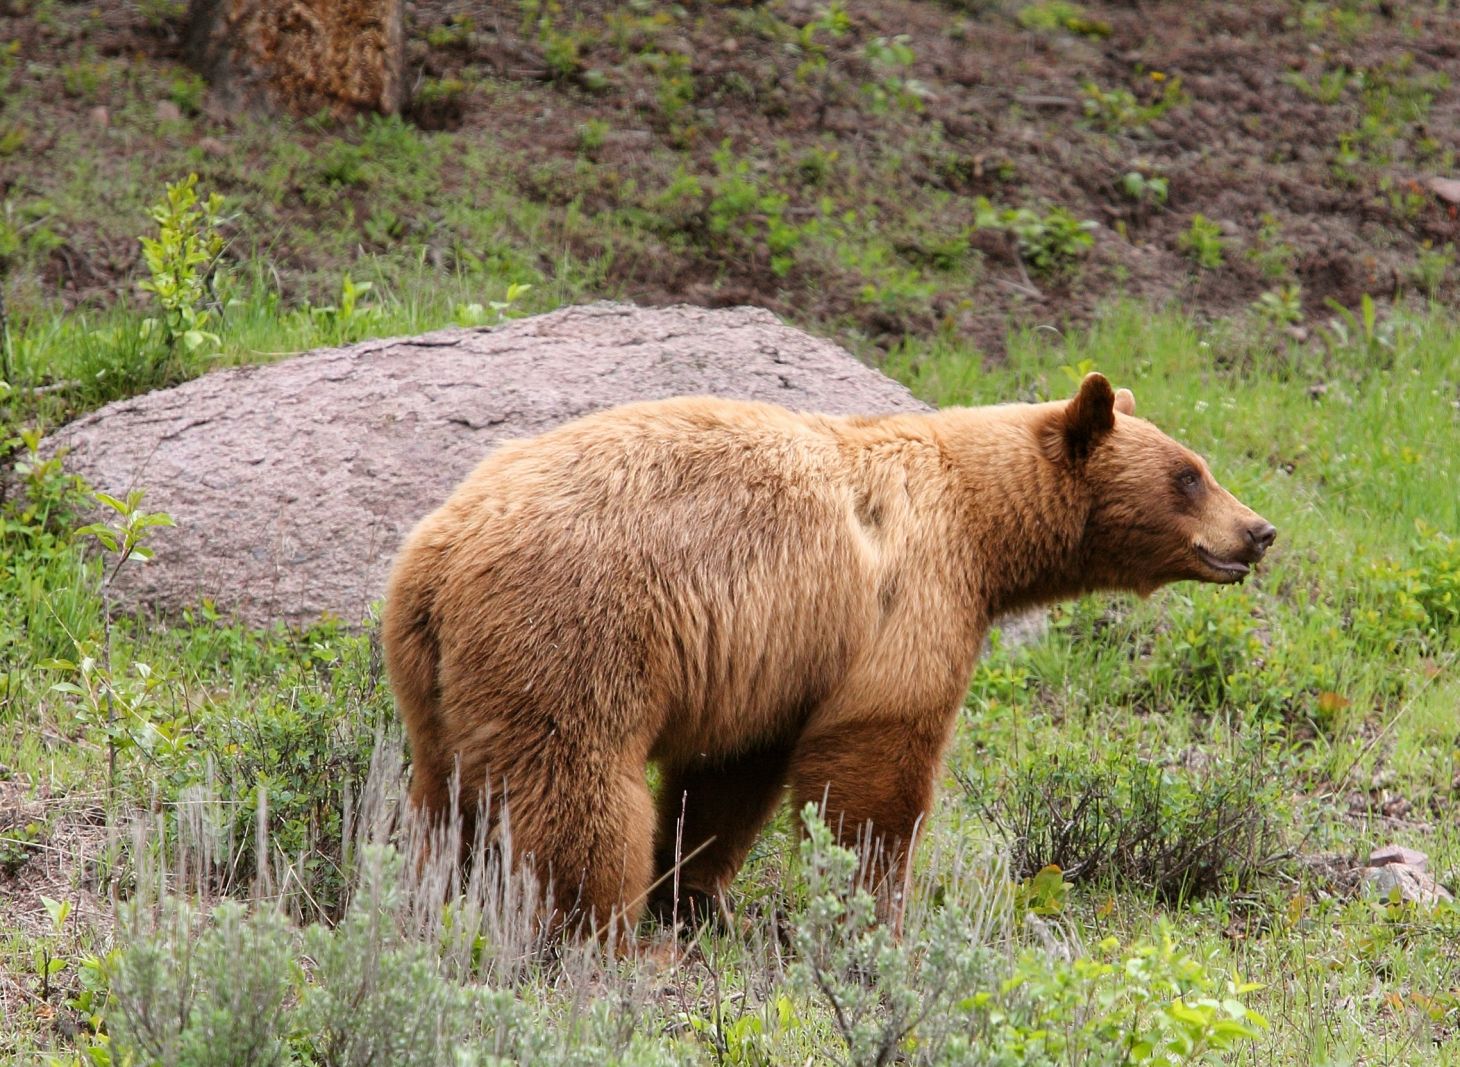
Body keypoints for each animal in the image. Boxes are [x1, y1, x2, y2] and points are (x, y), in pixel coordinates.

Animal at [381, 372, 1275, 941]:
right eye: (1189, 475)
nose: (1258, 531)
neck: (982, 524)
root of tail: (442, 554)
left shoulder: (777, 656)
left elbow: (730, 775)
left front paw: (697, 895)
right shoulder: (909, 597)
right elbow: (879, 759)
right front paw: (875, 912)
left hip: (434, 676)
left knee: (440, 792)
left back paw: (428, 892)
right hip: (576, 634)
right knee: (577, 786)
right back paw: (581, 927)